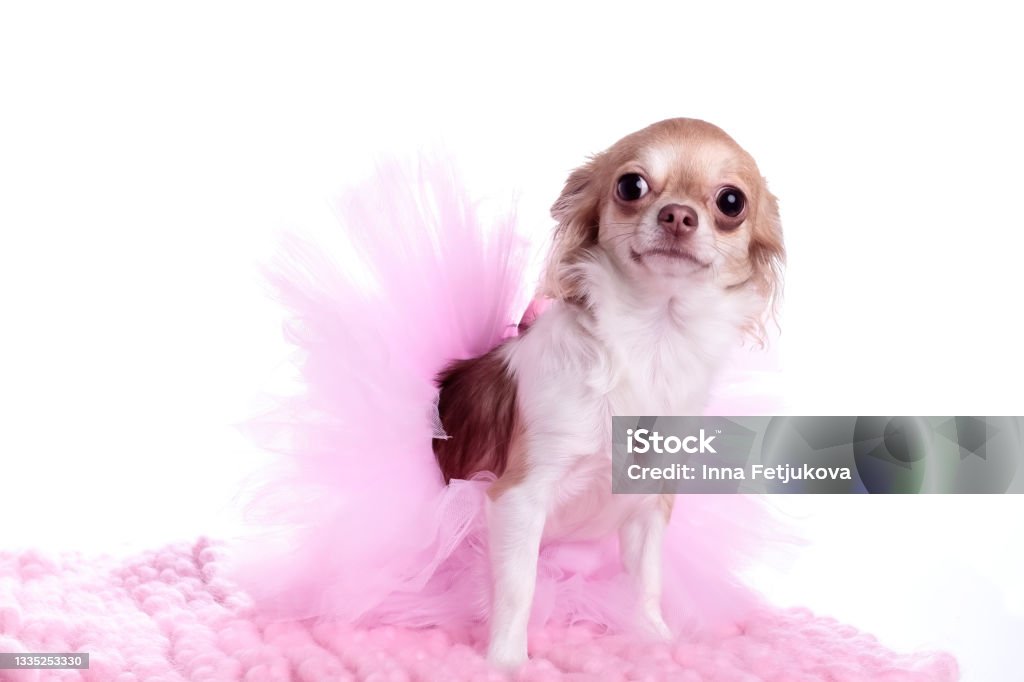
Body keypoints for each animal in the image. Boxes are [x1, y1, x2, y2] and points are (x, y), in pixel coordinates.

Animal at [432, 118, 782, 663]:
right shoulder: (518, 497)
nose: (678, 215)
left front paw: (654, 637)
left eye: (731, 202)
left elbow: (646, 580)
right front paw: (506, 660)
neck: (651, 345)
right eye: (631, 186)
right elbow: (517, 588)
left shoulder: (649, 504)